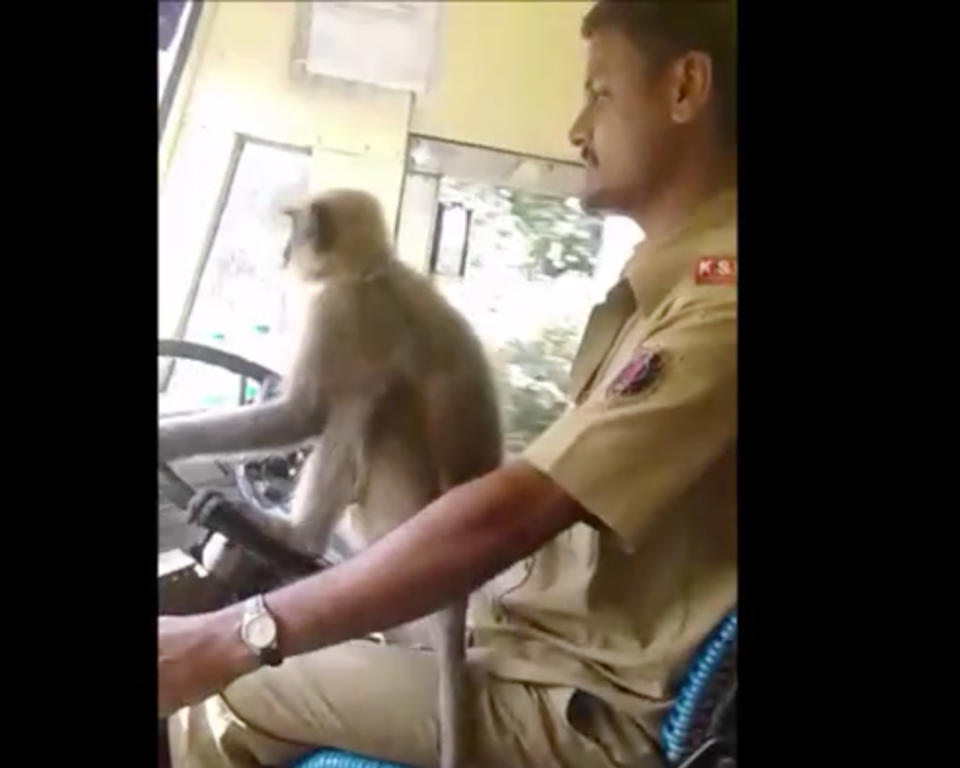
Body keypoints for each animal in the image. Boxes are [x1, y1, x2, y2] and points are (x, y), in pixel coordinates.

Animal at [158, 189, 502, 768]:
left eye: (295, 231)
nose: (283, 252)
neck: (372, 272)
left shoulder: (338, 310)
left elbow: (304, 415)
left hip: (398, 511)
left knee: (366, 406)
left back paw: (298, 537)